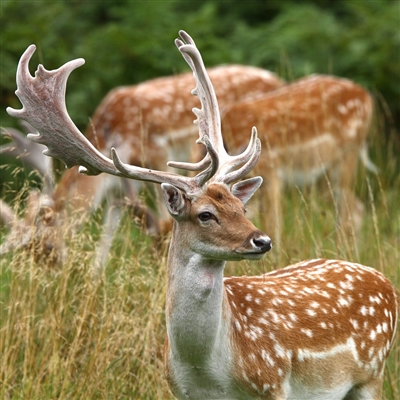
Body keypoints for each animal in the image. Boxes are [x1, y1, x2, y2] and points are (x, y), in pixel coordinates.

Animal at [7, 30, 398, 400]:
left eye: (241, 208)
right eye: (206, 214)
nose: (262, 240)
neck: (208, 369)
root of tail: (384, 281)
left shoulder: (272, 383)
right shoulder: (180, 390)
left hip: (372, 374)